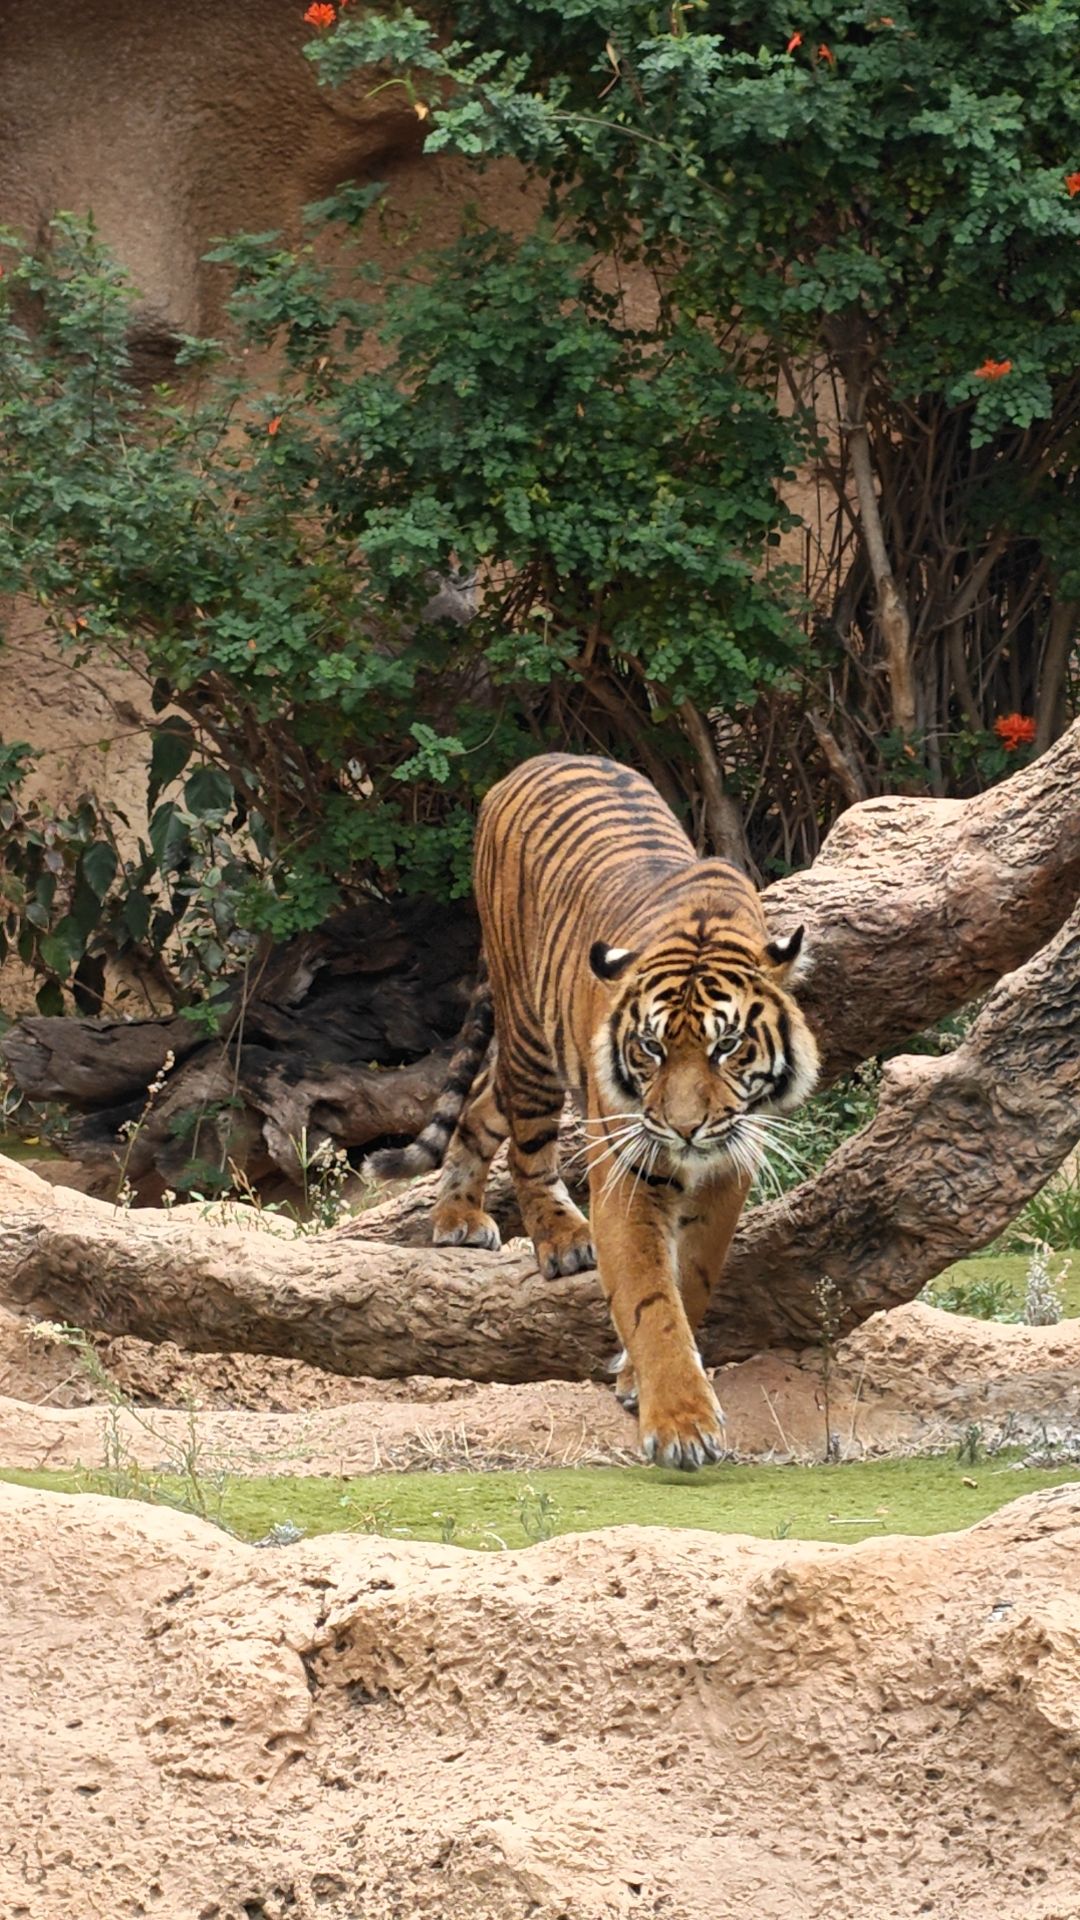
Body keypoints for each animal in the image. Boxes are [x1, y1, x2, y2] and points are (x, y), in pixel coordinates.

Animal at [369, 752, 820, 1469]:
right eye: (651, 1047)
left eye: (726, 1046)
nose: (686, 1129)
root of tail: (532, 762)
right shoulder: (631, 1174)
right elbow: (650, 1299)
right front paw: (682, 1424)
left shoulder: (729, 1168)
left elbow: (690, 1278)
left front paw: (643, 1378)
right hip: (530, 1036)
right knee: (526, 1147)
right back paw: (555, 1239)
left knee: (479, 1105)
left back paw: (458, 1216)